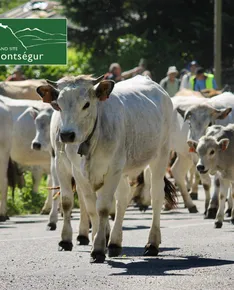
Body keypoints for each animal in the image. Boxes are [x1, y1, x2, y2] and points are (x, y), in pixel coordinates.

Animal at [36, 74, 176, 262]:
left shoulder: (112, 170)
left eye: (86, 104)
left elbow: (102, 208)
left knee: (156, 198)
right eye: (58, 104)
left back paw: (152, 244)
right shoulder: (73, 170)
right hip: (123, 170)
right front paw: (77, 240)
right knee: (122, 198)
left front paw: (97, 249)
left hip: (160, 156)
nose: (66, 134)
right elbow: (84, 205)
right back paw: (115, 243)